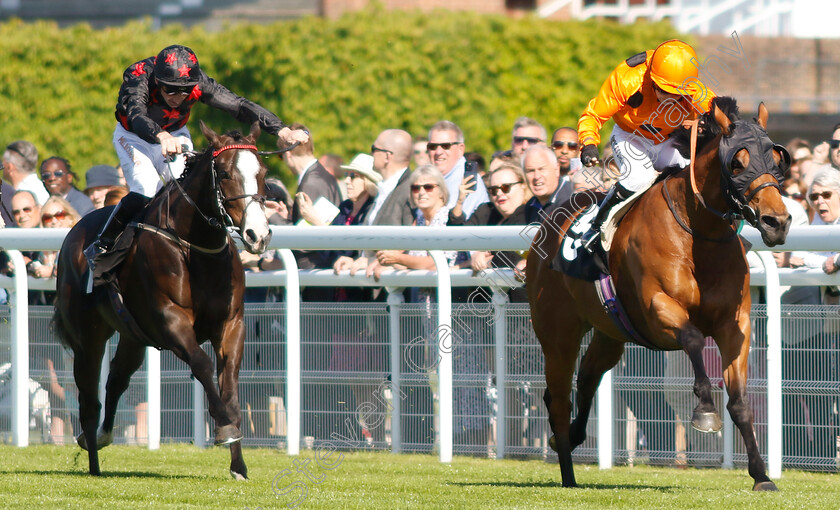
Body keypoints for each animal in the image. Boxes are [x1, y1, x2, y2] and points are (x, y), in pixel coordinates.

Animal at [54, 121, 270, 480]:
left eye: (263, 173)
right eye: (225, 173)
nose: (258, 235)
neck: (196, 246)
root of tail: (74, 232)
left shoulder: (231, 324)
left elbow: (230, 388)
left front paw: (238, 464)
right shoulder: (171, 320)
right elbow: (202, 364)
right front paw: (225, 428)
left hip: (132, 335)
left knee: (116, 380)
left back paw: (102, 436)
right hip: (88, 338)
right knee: (88, 398)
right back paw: (93, 459)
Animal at [528, 97, 792, 492]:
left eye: (776, 160)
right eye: (738, 163)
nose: (777, 222)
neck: (697, 235)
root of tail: (548, 218)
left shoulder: (736, 325)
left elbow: (740, 402)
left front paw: (762, 476)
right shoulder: (659, 310)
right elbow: (694, 339)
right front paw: (705, 411)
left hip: (610, 332)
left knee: (588, 376)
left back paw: (574, 439)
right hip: (558, 334)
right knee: (558, 398)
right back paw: (568, 475)